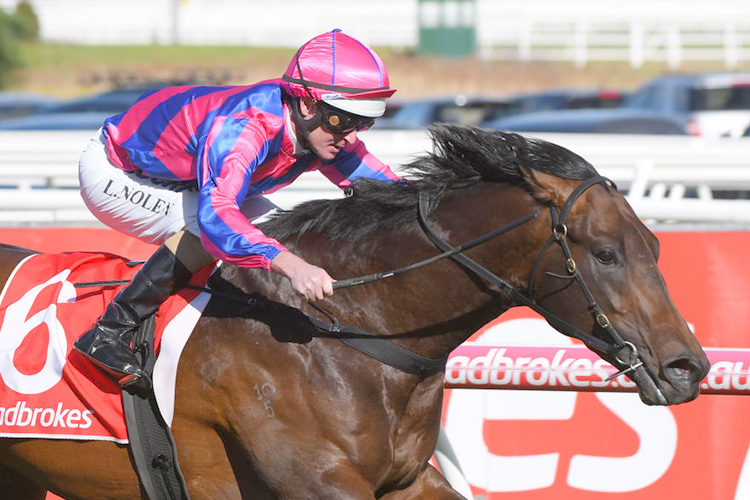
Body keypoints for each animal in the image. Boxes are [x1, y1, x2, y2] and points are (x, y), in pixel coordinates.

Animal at [0, 124, 712, 496]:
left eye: (655, 248)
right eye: (605, 254)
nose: (689, 368)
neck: (351, 331)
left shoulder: (407, 480)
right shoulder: (318, 482)